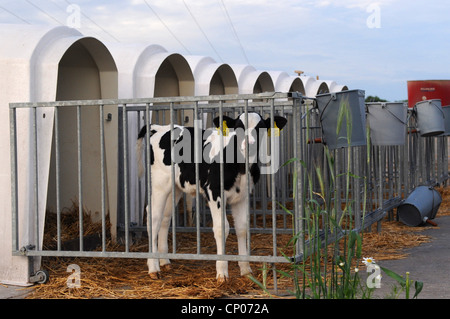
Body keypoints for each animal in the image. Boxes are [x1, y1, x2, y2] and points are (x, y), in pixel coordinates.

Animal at [135, 112, 288, 282]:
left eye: (260, 127)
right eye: (238, 127)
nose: (249, 145)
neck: (240, 166)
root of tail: (160, 128)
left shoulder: (242, 196)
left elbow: (242, 228)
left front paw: (246, 269)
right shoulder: (214, 193)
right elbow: (222, 228)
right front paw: (222, 272)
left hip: (175, 187)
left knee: (165, 217)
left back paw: (165, 261)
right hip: (160, 184)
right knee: (153, 218)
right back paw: (153, 267)